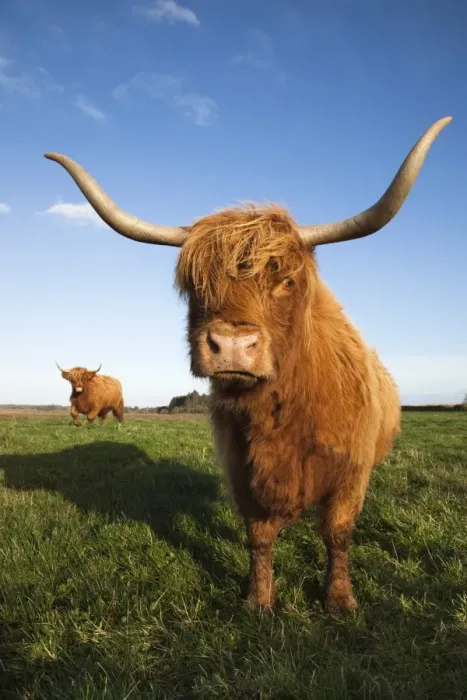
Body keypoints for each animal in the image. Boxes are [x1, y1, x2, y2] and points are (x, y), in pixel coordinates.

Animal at [45, 116, 451, 612]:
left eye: (287, 281)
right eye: (195, 285)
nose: (233, 345)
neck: (283, 413)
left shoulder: (352, 474)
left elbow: (337, 534)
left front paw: (339, 599)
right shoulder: (241, 470)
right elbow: (258, 537)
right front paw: (258, 600)